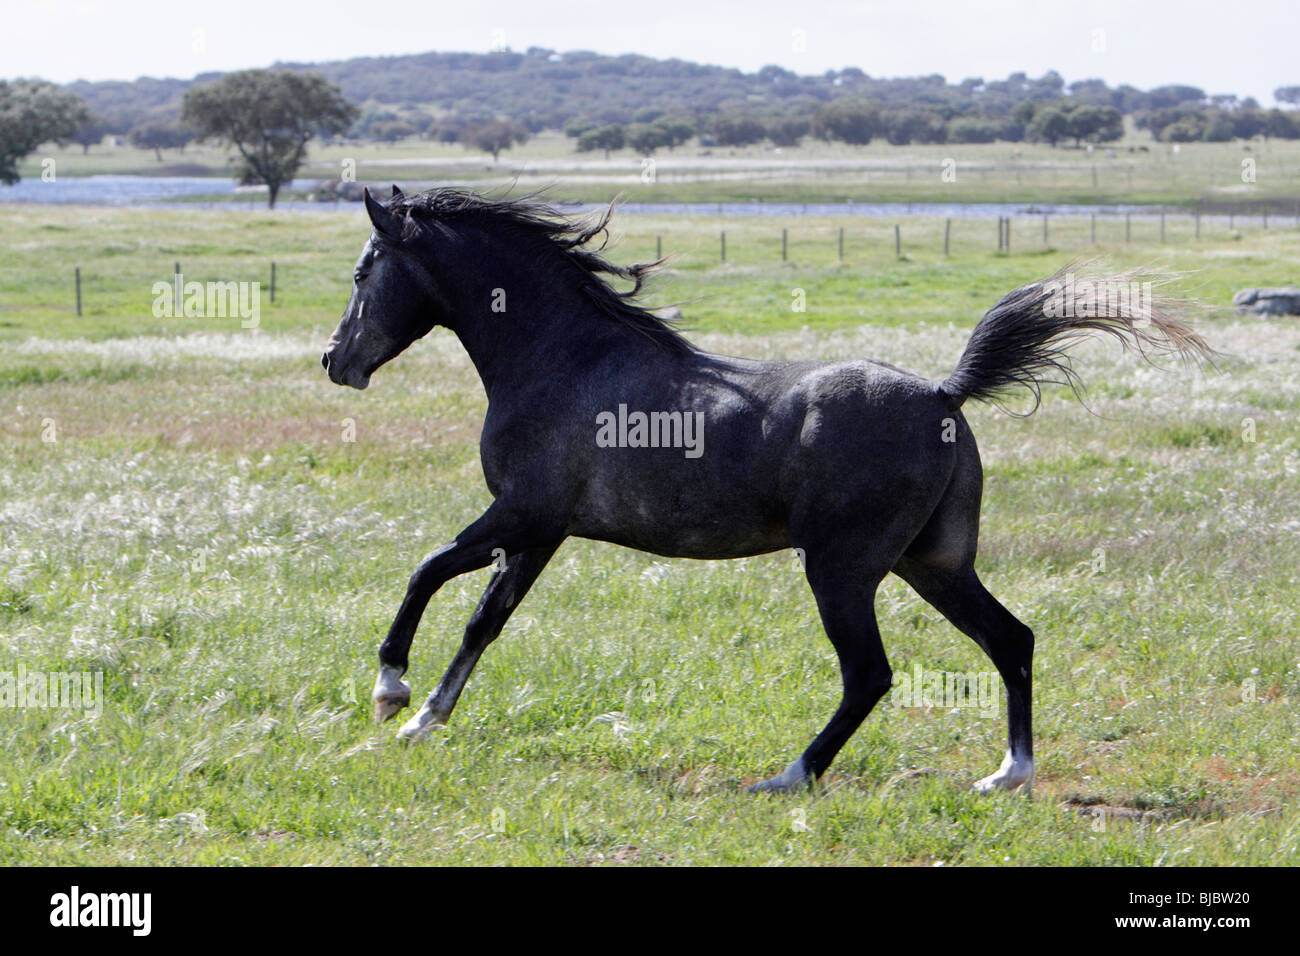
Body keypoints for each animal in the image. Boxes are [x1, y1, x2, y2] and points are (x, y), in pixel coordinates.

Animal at [319, 184, 1211, 790]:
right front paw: (421, 716)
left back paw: (789, 776)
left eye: (365, 269)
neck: (562, 360)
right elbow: (480, 616)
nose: (336, 360)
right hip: (934, 564)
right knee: (1010, 640)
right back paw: (1008, 775)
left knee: (871, 674)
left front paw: (393, 695)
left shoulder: (523, 515)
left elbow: (432, 575)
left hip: (843, 570)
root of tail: (944, 394)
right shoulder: (541, 532)